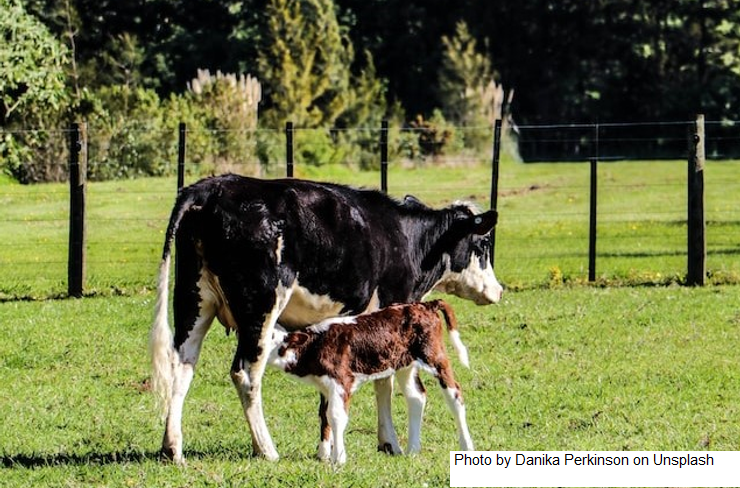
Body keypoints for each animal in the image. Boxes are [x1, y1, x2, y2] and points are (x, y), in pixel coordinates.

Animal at [267, 299, 474, 465]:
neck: (315, 345)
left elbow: (336, 416)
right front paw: (323, 454)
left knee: (455, 395)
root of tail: (424, 305)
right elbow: (324, 415)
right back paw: (413, 450)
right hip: (404, 364)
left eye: (271, 337)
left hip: (434, 356)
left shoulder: (341, 381)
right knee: (416, 397)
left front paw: (338, 459)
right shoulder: (325, 386)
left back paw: (467, 447)